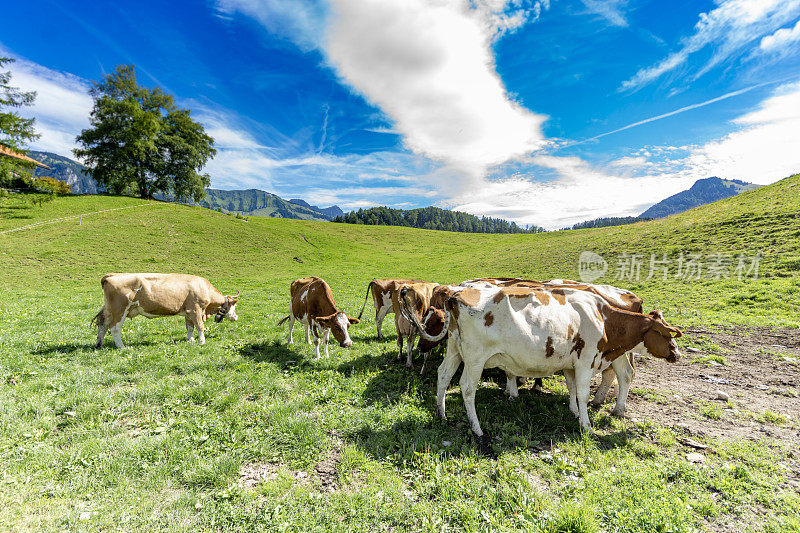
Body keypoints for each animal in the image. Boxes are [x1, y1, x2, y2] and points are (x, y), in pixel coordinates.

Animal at [92, 274, 239, 350]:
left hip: (109, 310)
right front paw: (201, 342)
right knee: (114, 328)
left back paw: (99, 344)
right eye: (234, 306)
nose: (236, 317)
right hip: (120, 310)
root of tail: (112, 275)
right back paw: (121, 346)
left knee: (102, 325)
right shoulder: (196, 309)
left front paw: (191, 340)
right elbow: (199, 326)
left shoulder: (188, 311)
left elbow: (190, 327)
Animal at [406, 284, 680, 442]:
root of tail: (456, 295)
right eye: (665, 334)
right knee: (467, 388)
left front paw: (573, 411)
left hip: (454, 349)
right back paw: (477, 429)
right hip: (475, 358)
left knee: (443, 375)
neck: (602, 316)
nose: (677, 355)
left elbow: (572, 389)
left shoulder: (570, 362)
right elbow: (582, 392)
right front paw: (586, 426)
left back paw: (441, 413)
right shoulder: (585, 361)